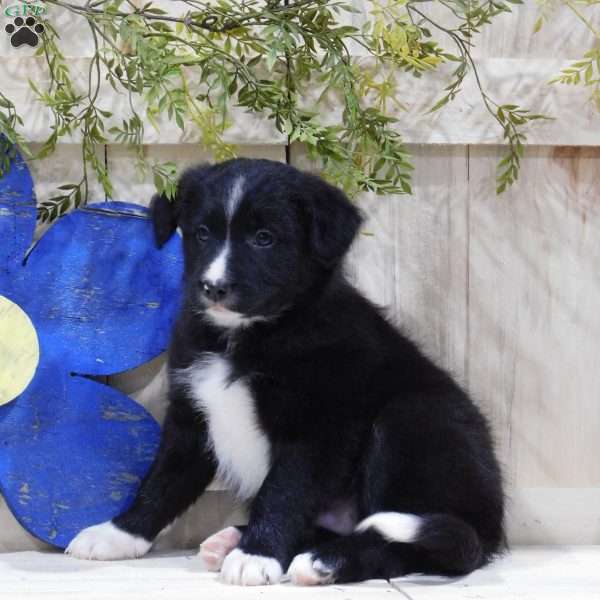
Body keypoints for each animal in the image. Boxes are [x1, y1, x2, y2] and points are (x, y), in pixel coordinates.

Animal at [67, 159, 506, 584]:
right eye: (202, 234)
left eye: (264, 238)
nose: (213, 287)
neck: (248, 337)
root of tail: (489, 531)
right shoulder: (191, 415)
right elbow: (161, 481)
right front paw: (117, 533)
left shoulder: (316, 429)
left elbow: (283, 493)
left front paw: (256, 555)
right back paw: (232, 541)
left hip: (412, 419)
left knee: (406, 546)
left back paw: (324, 562)